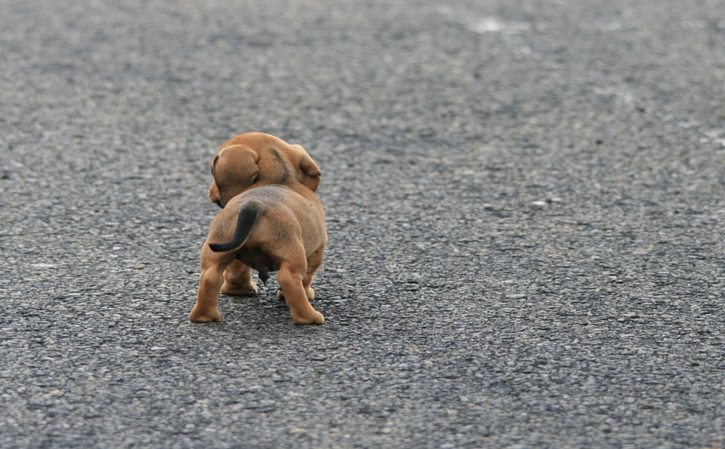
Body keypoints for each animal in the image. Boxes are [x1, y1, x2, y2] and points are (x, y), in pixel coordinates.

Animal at [189, 131, 326, 324]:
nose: (210, 192)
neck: (276, 179)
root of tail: (253, 205)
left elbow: (237, 271)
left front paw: (239, 291)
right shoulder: (317, 250)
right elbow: (307, 277)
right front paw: (306, 294)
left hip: (217, 248)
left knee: (210, 277)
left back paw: (204, 316)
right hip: (293, 255)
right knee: (289, 279)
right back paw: (310, 317)